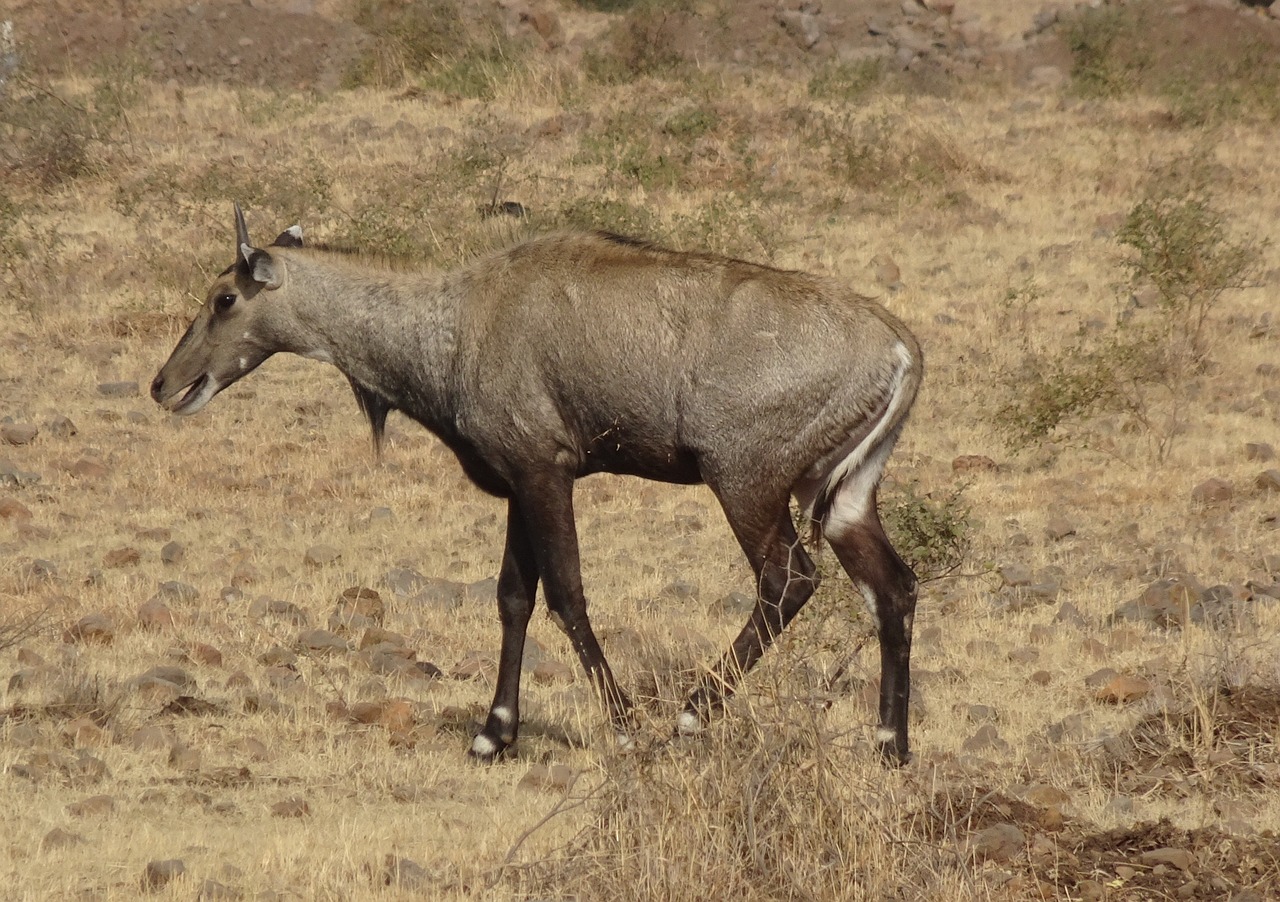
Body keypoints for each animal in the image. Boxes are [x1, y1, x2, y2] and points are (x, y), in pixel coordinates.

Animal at [152, 207, 921, 762]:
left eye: (225, 297)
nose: (164, 384)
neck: (455, 322)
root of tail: (901, 347)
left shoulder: (544, 470)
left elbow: (566, 595)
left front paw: (622, 727)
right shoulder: (519, 482)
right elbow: (513, 599)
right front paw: (493, 734)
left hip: (745, 482)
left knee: (789, 580)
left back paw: (689, 717)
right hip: (846, 496)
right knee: (895, 586)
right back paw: (891, 746)